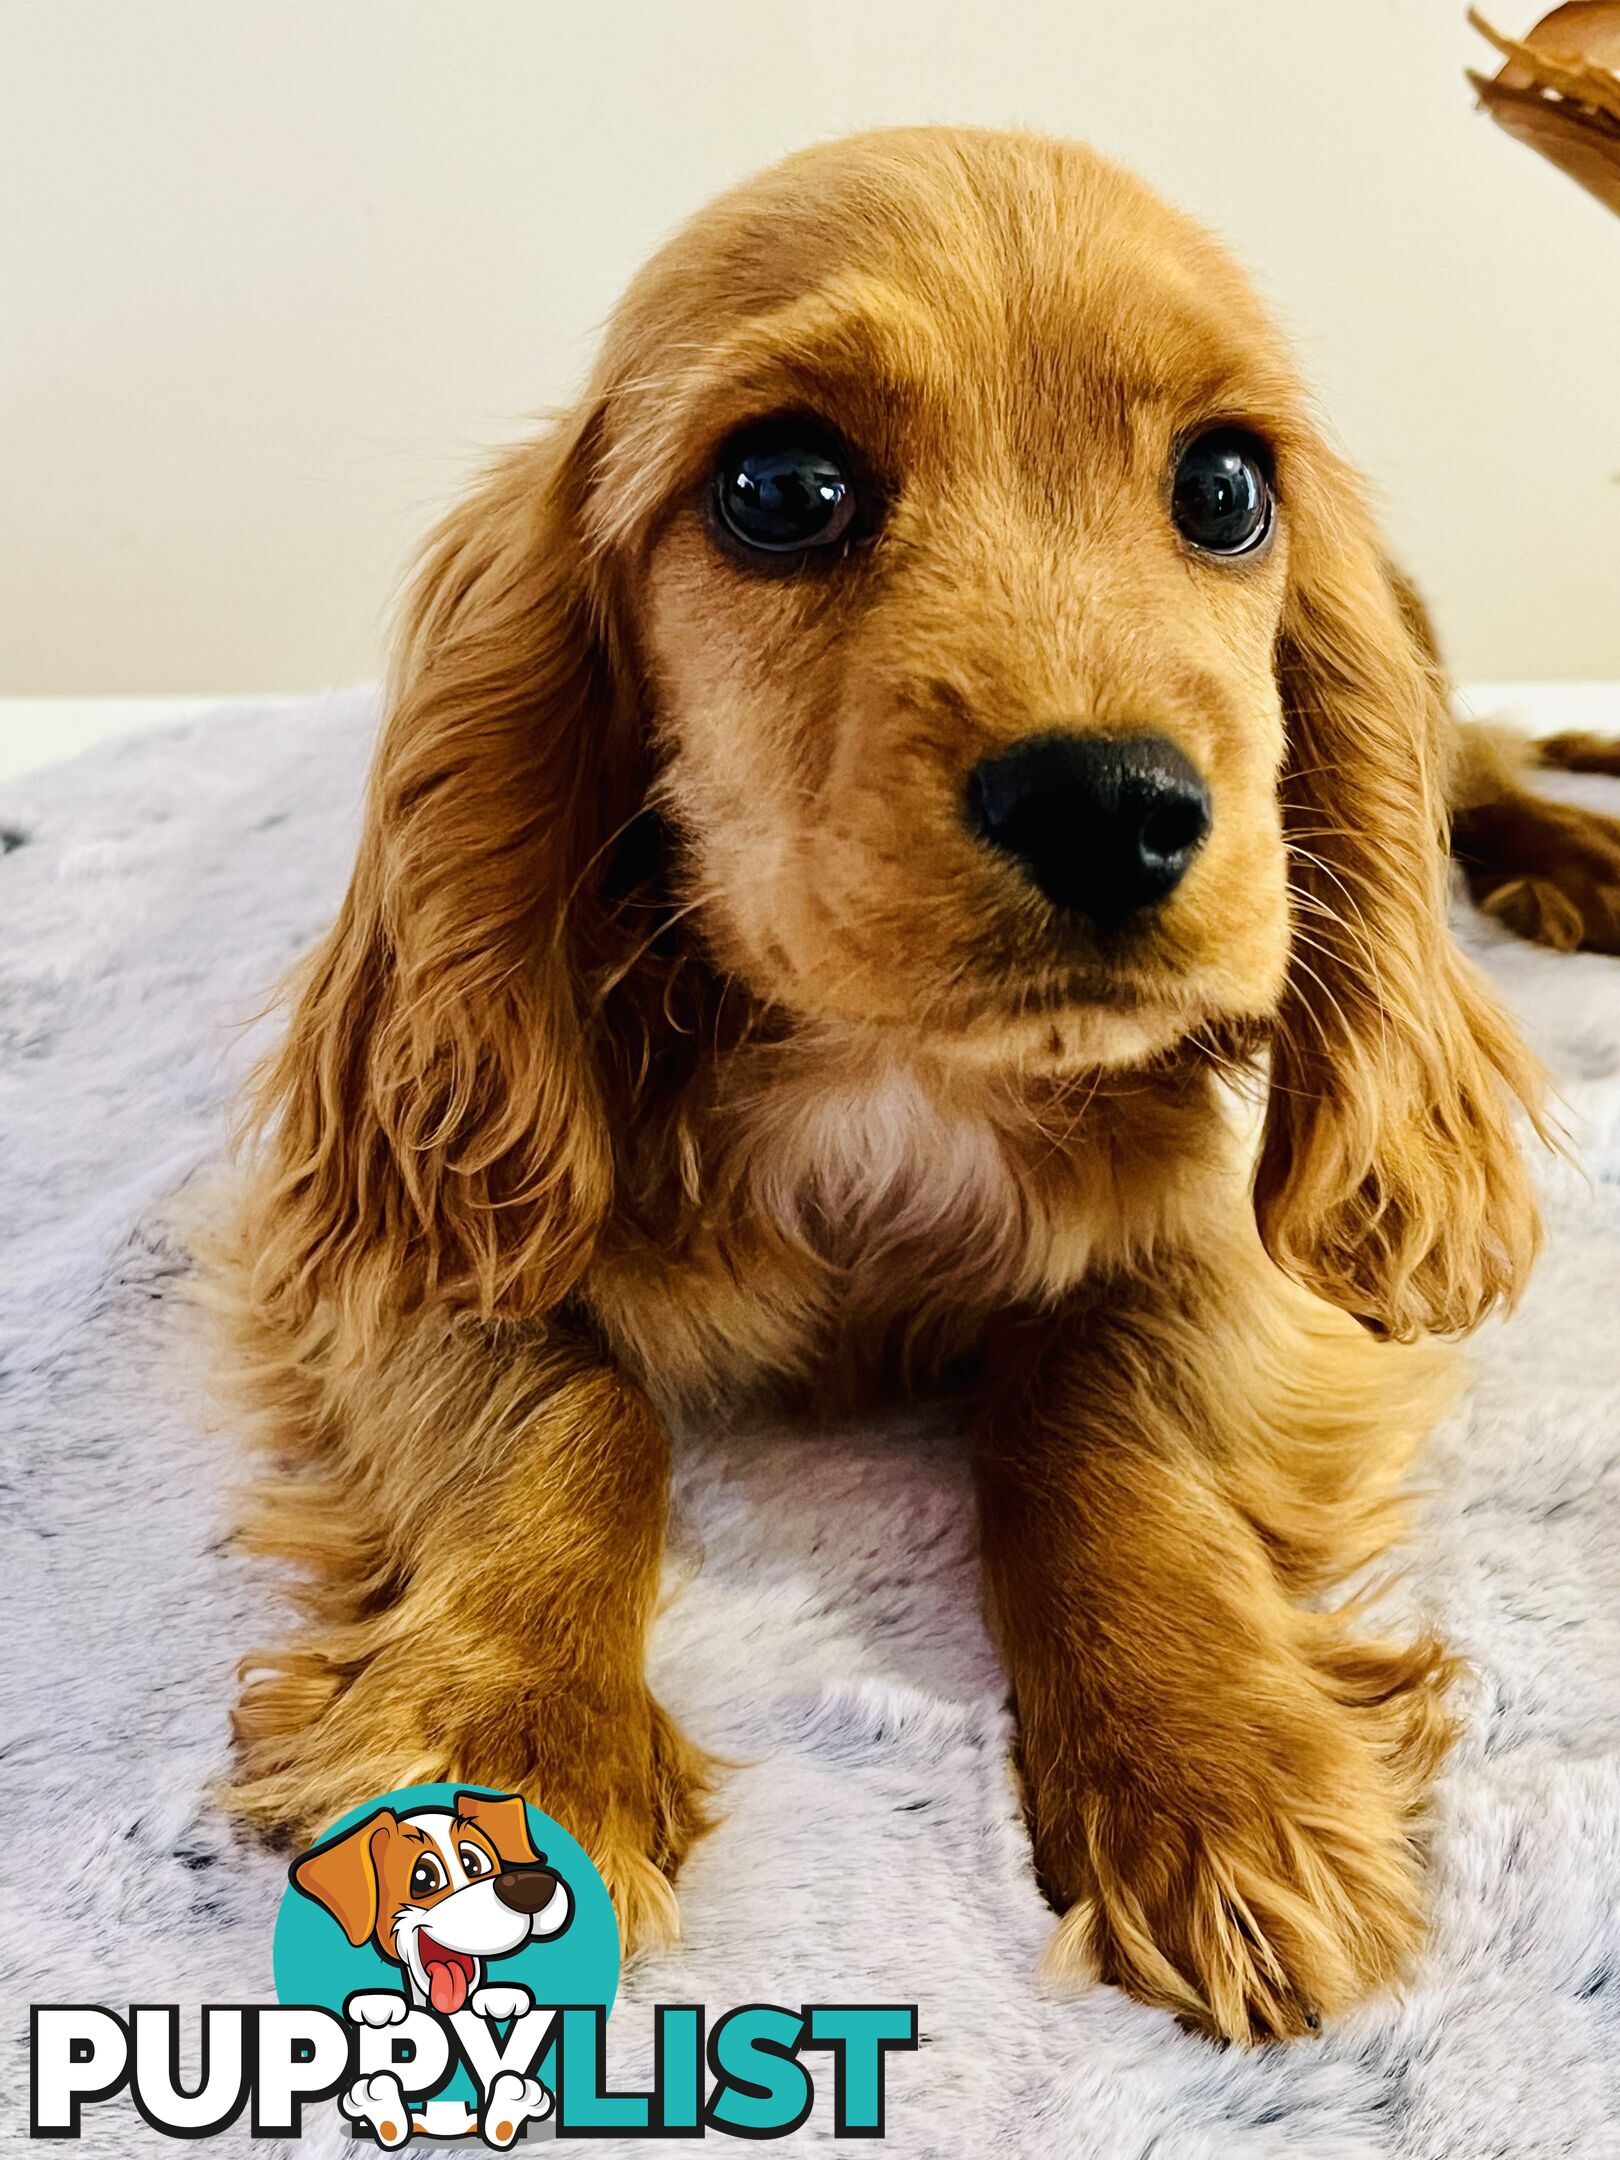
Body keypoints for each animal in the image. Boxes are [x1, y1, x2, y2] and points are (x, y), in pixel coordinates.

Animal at [219, 130, 1615, 2039]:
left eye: (1228, 487)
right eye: (783, 486)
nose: (1109, 807)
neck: (891, 1075)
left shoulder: (1231, 1258)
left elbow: (1095, 1419)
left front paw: (1221, 1774)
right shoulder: (402, 1228)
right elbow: (568, 1418)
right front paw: (502, 1750)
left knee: (1463, 752)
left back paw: (1573, 852)